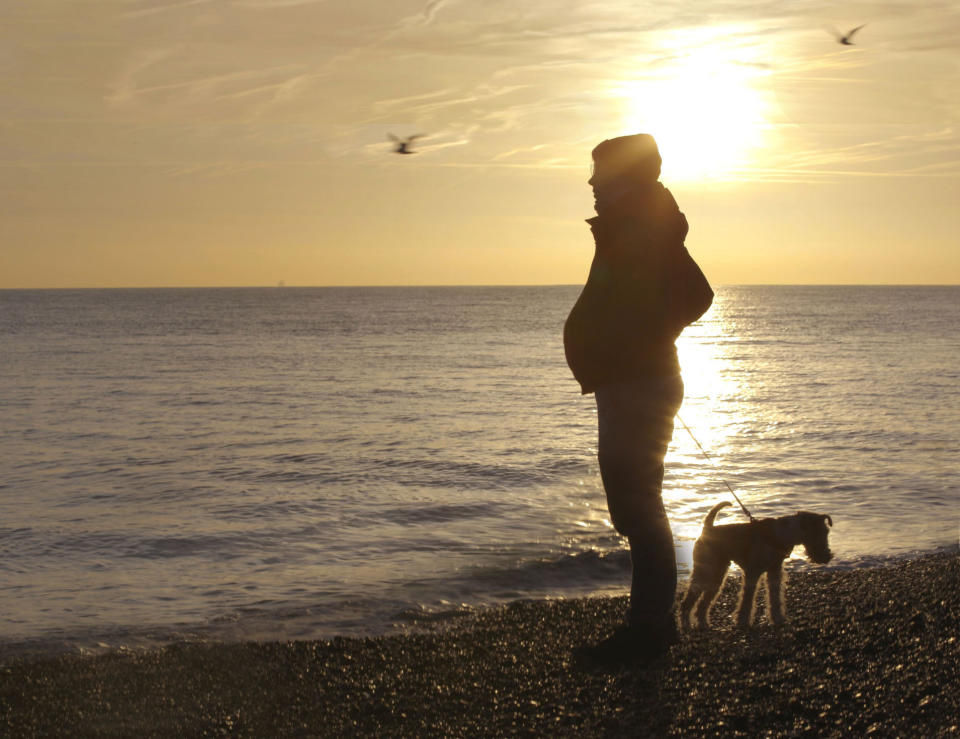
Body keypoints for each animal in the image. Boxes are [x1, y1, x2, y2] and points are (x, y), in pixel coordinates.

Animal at [680, 498, 828, 632]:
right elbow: (747, 601)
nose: (827, 556)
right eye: (821, 532)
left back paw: (703, 623)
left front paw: (778, 619)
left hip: (717, 575)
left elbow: (775, 598)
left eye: (826, 532)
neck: (782, 533)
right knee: (687, 601)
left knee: (703, 603)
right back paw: (685, 624)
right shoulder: (752, 573)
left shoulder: (774, 572)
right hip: (705, 570)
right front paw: (743, 622)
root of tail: (708, 528)